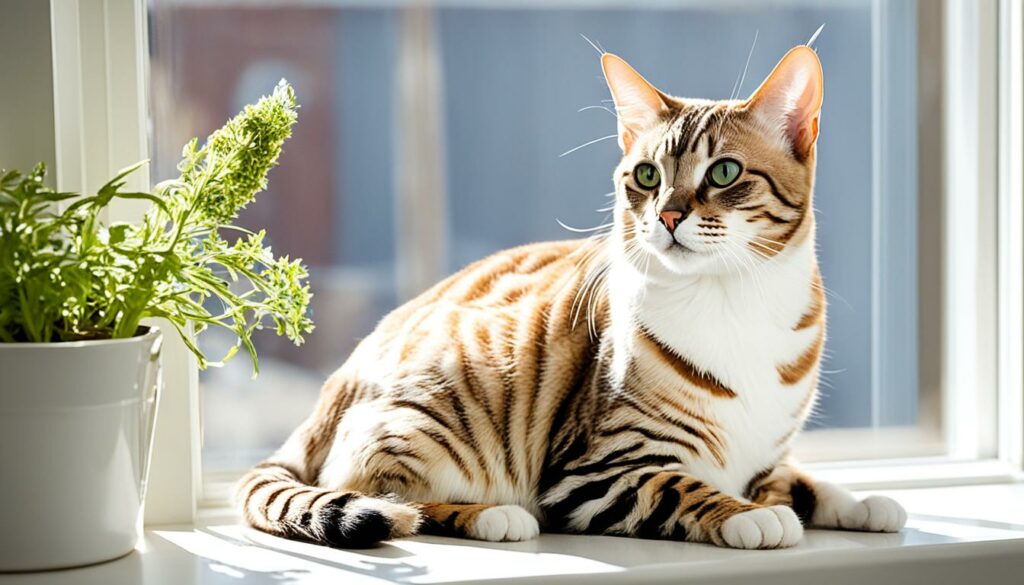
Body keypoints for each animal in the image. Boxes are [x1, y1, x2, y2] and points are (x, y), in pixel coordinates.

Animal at [241, 44, 913, 549]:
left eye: (724, 172)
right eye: (647, 175)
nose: (667, 216)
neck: (732, 300)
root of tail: (330, 394)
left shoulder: (766, 457)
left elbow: (800, 480)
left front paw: (862, 500)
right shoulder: (594, 472)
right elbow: (682, 487)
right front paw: (749, 515)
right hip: (427, 418)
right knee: (383, 494)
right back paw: (493, 516)